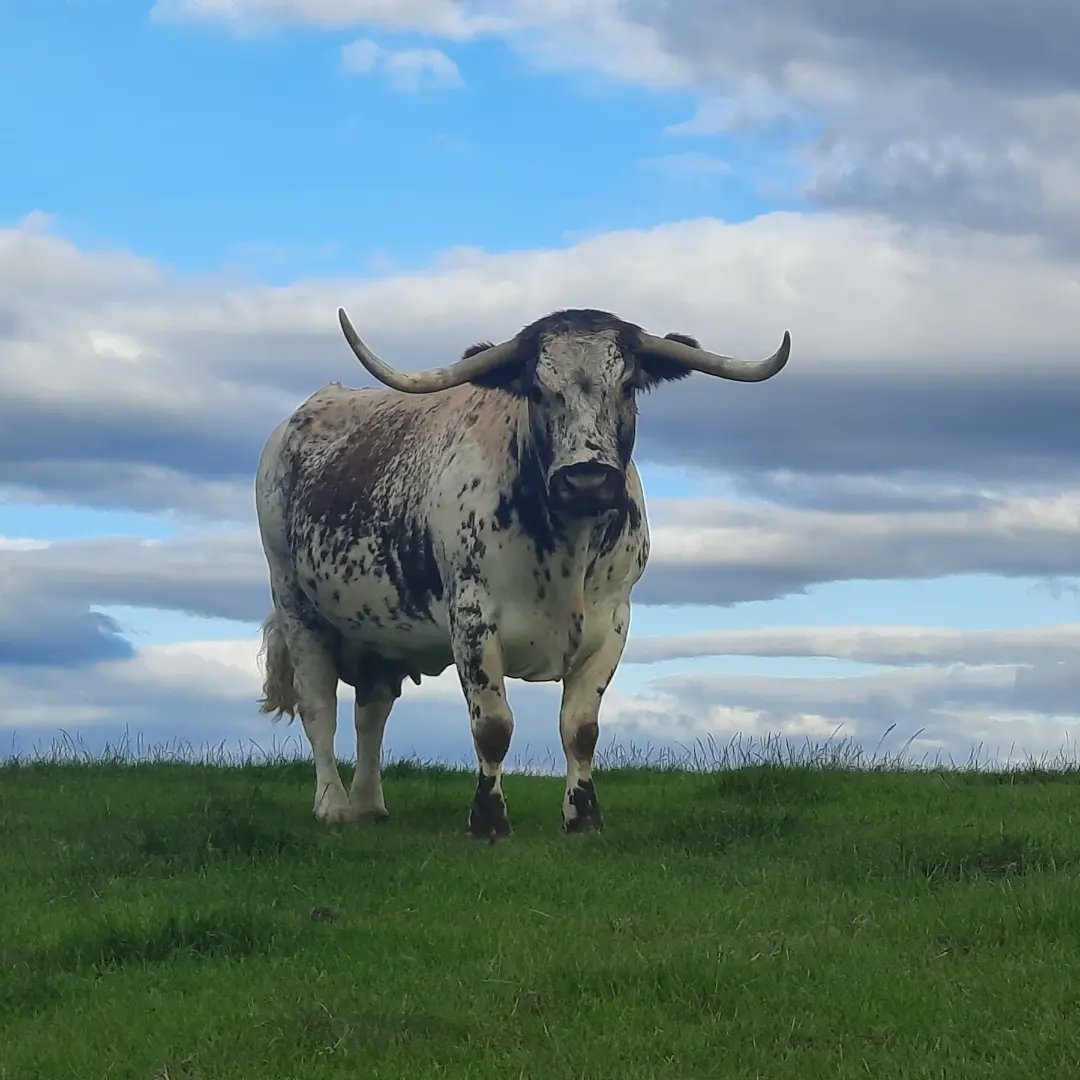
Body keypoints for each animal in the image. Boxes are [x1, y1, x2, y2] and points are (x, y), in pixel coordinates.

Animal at [255, 306, 790, 838]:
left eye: (627, 384)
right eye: (537, 388)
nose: (587, 480)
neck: (567, 552)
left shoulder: (613, 622)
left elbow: (581, 728)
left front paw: (583, 815)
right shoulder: (472, 621)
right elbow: (493, 726)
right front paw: (488, 820)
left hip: (377, 630)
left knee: (372, 711)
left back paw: (369, 804)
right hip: (296, 605)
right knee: (319, 709)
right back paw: (334, 806)